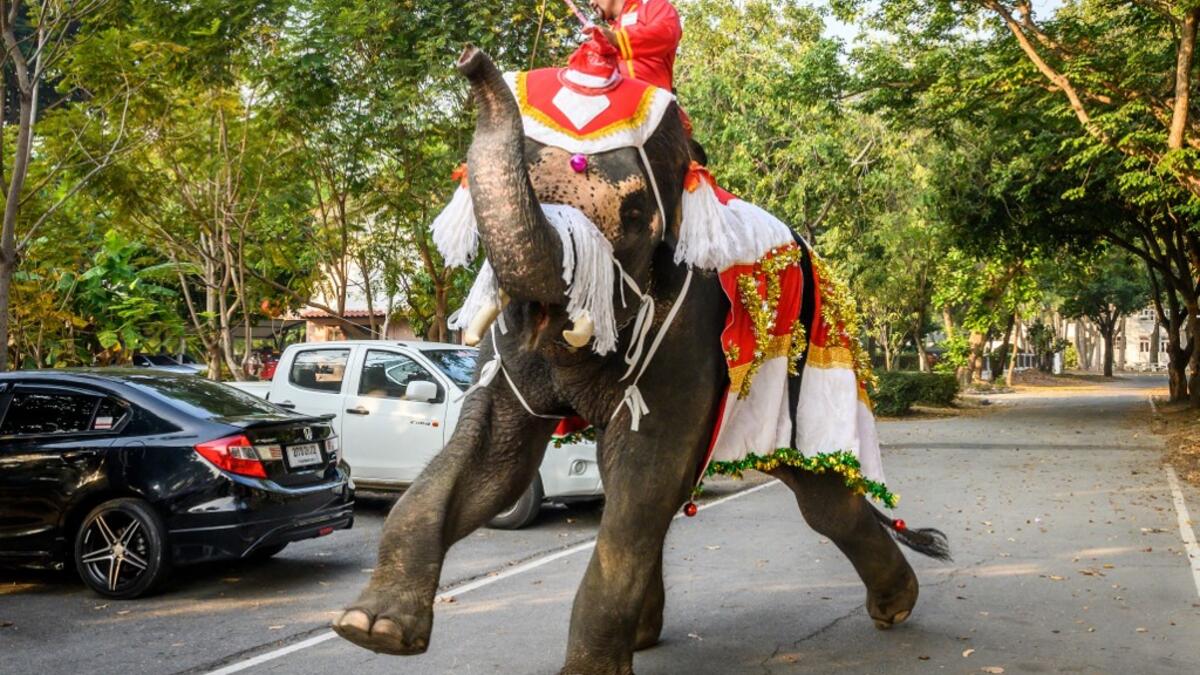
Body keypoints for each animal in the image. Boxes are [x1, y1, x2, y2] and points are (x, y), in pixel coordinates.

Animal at [333, 45, 948, 675]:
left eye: (632, 215)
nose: (471, 58)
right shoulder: (505, 346)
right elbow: (496, 465)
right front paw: (372, 629)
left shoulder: (688, 327)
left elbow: (643, 468)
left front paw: (588, 671)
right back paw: (647, 636)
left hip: (803, 374)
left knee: (820, 499)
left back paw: (896, 608)